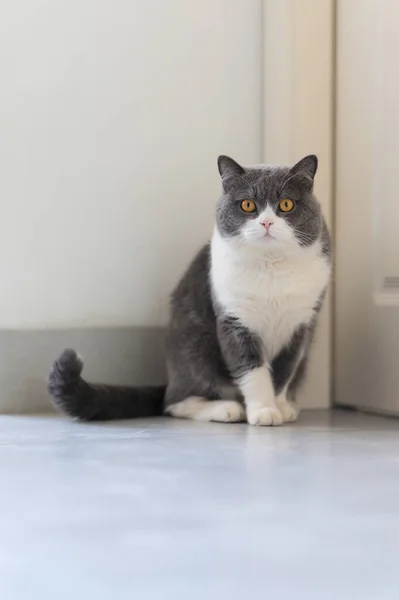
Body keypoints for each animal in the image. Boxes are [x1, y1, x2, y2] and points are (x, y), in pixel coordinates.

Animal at [48, 155, 332, 426]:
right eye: (247, 205)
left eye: (286, 204)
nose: (267, 223)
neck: (271, 266)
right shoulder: (233, 319)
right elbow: (252, 370)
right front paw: (263, 411)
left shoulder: (301, 324)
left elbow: (284, 371)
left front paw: (278, 406)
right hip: (193, 348)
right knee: (174, 402)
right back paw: (226, 409)